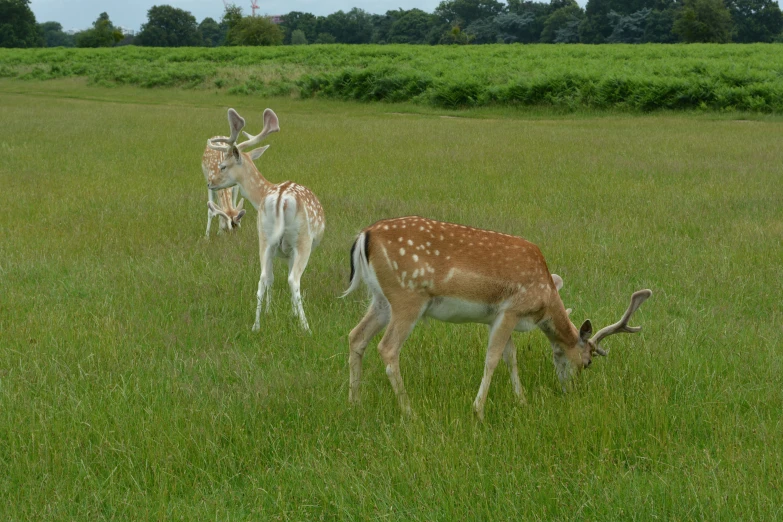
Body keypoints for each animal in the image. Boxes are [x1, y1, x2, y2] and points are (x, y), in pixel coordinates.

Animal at [205, 107, 324, 332]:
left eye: (223, 166)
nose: (210, 182)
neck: (262, 192)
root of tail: (279, 199)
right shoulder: (290, 250)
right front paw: (292, 314)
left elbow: (270, 278)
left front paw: (270, 311)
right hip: (302, 240)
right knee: (293, 280)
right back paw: (306, 328)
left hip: (264, 237)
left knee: (261, 279)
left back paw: (256, 326)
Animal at [344, 215, 648, 418]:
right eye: (588, 362)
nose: (571, 390)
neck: (545, 298)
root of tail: (363, 236)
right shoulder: (511, 309)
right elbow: (492, 358)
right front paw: (478, 410)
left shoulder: (497, 317)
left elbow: (509, 357)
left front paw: (521, 400)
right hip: (407, 297)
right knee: (387, 347)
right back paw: (410, 412)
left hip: (381, 300)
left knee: (356, 336)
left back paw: (355, 402)